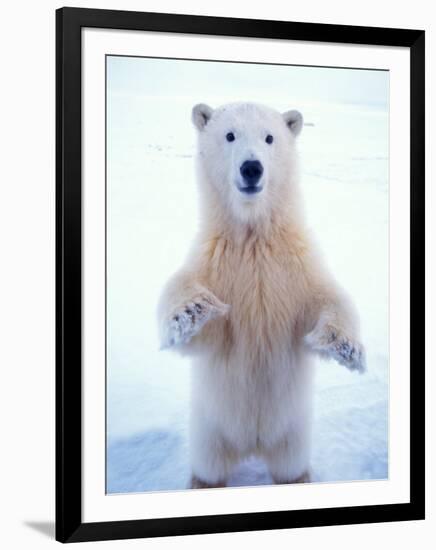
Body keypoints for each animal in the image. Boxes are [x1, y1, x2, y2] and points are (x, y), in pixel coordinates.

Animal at [158, 101, 364, 490]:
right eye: (229, 134)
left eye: (270, 137)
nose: (251, 168)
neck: (253, 236)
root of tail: (252, 445)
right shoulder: (215, 262)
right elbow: (193, 315)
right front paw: (193, 308)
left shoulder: (294, 266)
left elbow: (327, 298)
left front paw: (345, 346)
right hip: (209, 428)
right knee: (209, 466)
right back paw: (202, 482)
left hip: (293, 432)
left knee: (290, 466)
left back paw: (299, 478)